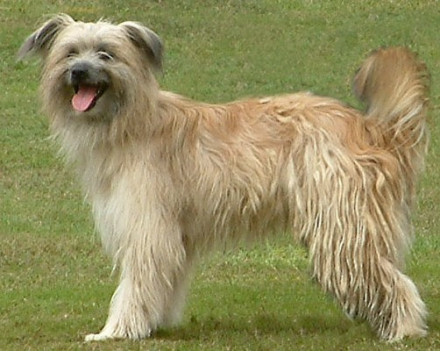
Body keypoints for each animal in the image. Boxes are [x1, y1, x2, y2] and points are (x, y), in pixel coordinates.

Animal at [19, 15, 430, 342]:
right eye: (70, 52)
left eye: (106, 54)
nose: (78, 72)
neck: (130, 122)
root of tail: (373, 129)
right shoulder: (173, 235)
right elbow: (164, 282)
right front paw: (155, 322)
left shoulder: (147, 228)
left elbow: (135, 283)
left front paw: (117, 331)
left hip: (342, 227)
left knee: (393, 281)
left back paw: (403, 330)